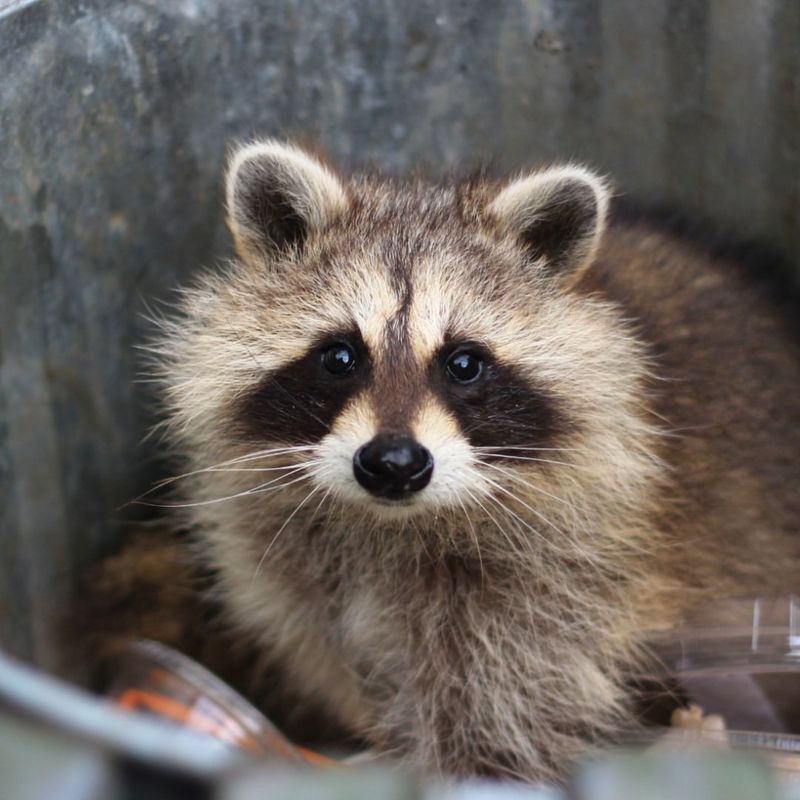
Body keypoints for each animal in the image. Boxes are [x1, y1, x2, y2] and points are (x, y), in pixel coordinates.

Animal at [138, 140, 800, 781]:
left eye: (464, 363)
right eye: (339, 356)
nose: (394, 462)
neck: (391, 526)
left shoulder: (564, 583)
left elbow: (498, 710)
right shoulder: (289, 566)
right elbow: (328, 648)